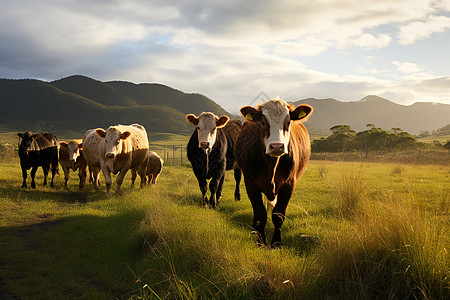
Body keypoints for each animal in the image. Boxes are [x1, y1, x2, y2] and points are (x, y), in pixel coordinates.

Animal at [236, 99, 312, 247]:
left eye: (288, 122)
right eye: (263, 122)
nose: (277, 146)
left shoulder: (289, 183)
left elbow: (278, 215)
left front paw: (276, 242)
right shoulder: (250, 183)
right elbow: (260, 213)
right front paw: (261, 241)